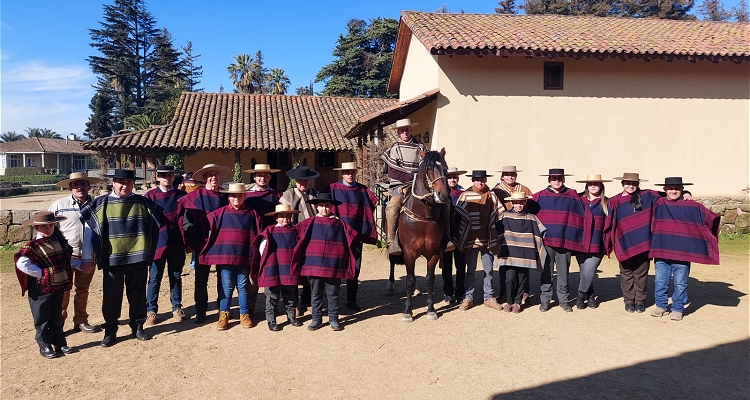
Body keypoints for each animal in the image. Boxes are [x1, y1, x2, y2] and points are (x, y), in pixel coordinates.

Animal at [396, 148, 450, 322]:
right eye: (429, 170)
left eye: (445, 169)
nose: (443, 195)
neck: (423, 217)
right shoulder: (408, 253)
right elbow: (409, 279)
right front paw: (407, 311)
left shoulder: (434, 253)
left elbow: (429, 279)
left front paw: (431, 309)